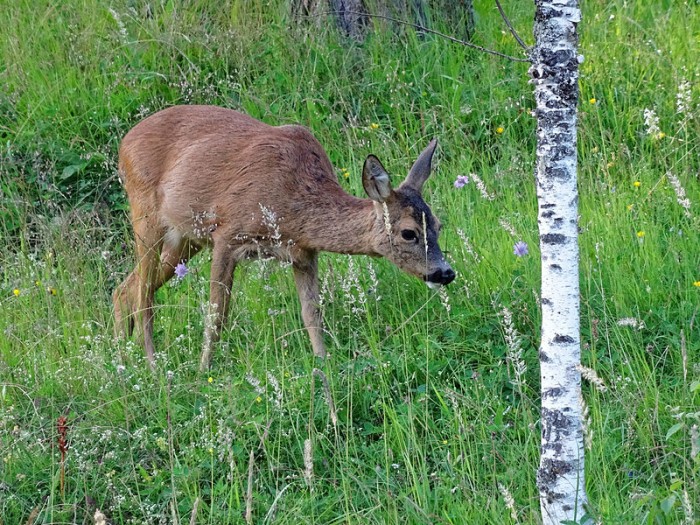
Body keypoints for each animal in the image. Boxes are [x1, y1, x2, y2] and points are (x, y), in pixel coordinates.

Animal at [113, 105, 456, 368]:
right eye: (409, 233)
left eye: (438, 225)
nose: (445, 272)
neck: (294, 206)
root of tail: (124, 141)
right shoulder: (227, 233)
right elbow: (217, 315)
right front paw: (203, 371)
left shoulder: (304, 254)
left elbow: (312, 314)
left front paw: (325, 370)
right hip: (146, 216)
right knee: (143, 295)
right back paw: (153, 365)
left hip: (185, 239)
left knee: (126, 288)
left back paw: (123, 359)